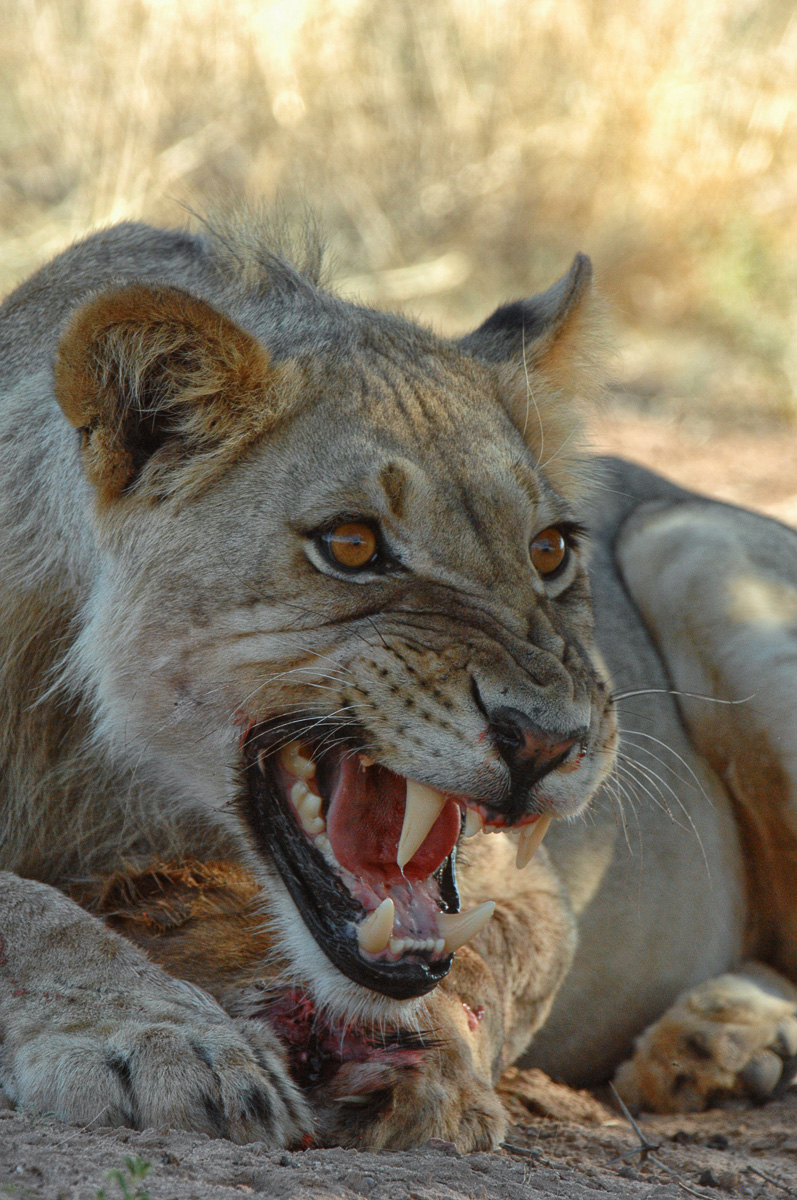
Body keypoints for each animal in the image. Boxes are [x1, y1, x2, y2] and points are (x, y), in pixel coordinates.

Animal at [0, 214, 795, 1151]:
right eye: (350, 546)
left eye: (549, 550)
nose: (548, 742)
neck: (99, 766)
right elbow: (31, 913)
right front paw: (155, 1037)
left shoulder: (528, 886)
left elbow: (485, 955)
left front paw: (428, 1064)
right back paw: (714, 1047)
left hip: (685, 543)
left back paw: (721, 1044)